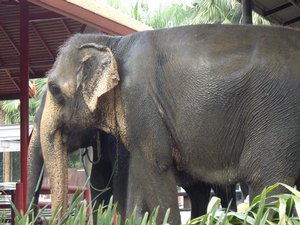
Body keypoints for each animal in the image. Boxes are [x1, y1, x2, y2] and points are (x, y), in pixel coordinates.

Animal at [37, 23, 300, 224]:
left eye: (54, 89)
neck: (114, 43)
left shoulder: (141, 103)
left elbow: (155, 169)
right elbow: (137, 178)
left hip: (276, 117)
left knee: (267, 182)